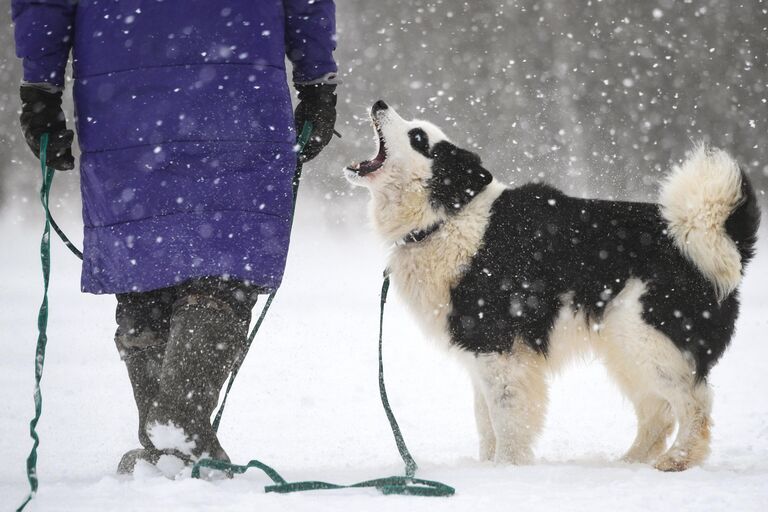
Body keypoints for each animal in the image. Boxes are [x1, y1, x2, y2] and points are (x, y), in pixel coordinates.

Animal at [348, 100, 760, 472]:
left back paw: (678, 460)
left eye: (418, 137)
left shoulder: (500, 349)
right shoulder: (480, 354)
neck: (448, 218)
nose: (380, 103)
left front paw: (506, 470)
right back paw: (630, 463)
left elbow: (507, 419)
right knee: (658, 414)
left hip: (647, 338)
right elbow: (485, 422)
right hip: (626, 347)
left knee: (695, 403)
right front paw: (487, 468)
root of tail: (704, 239)